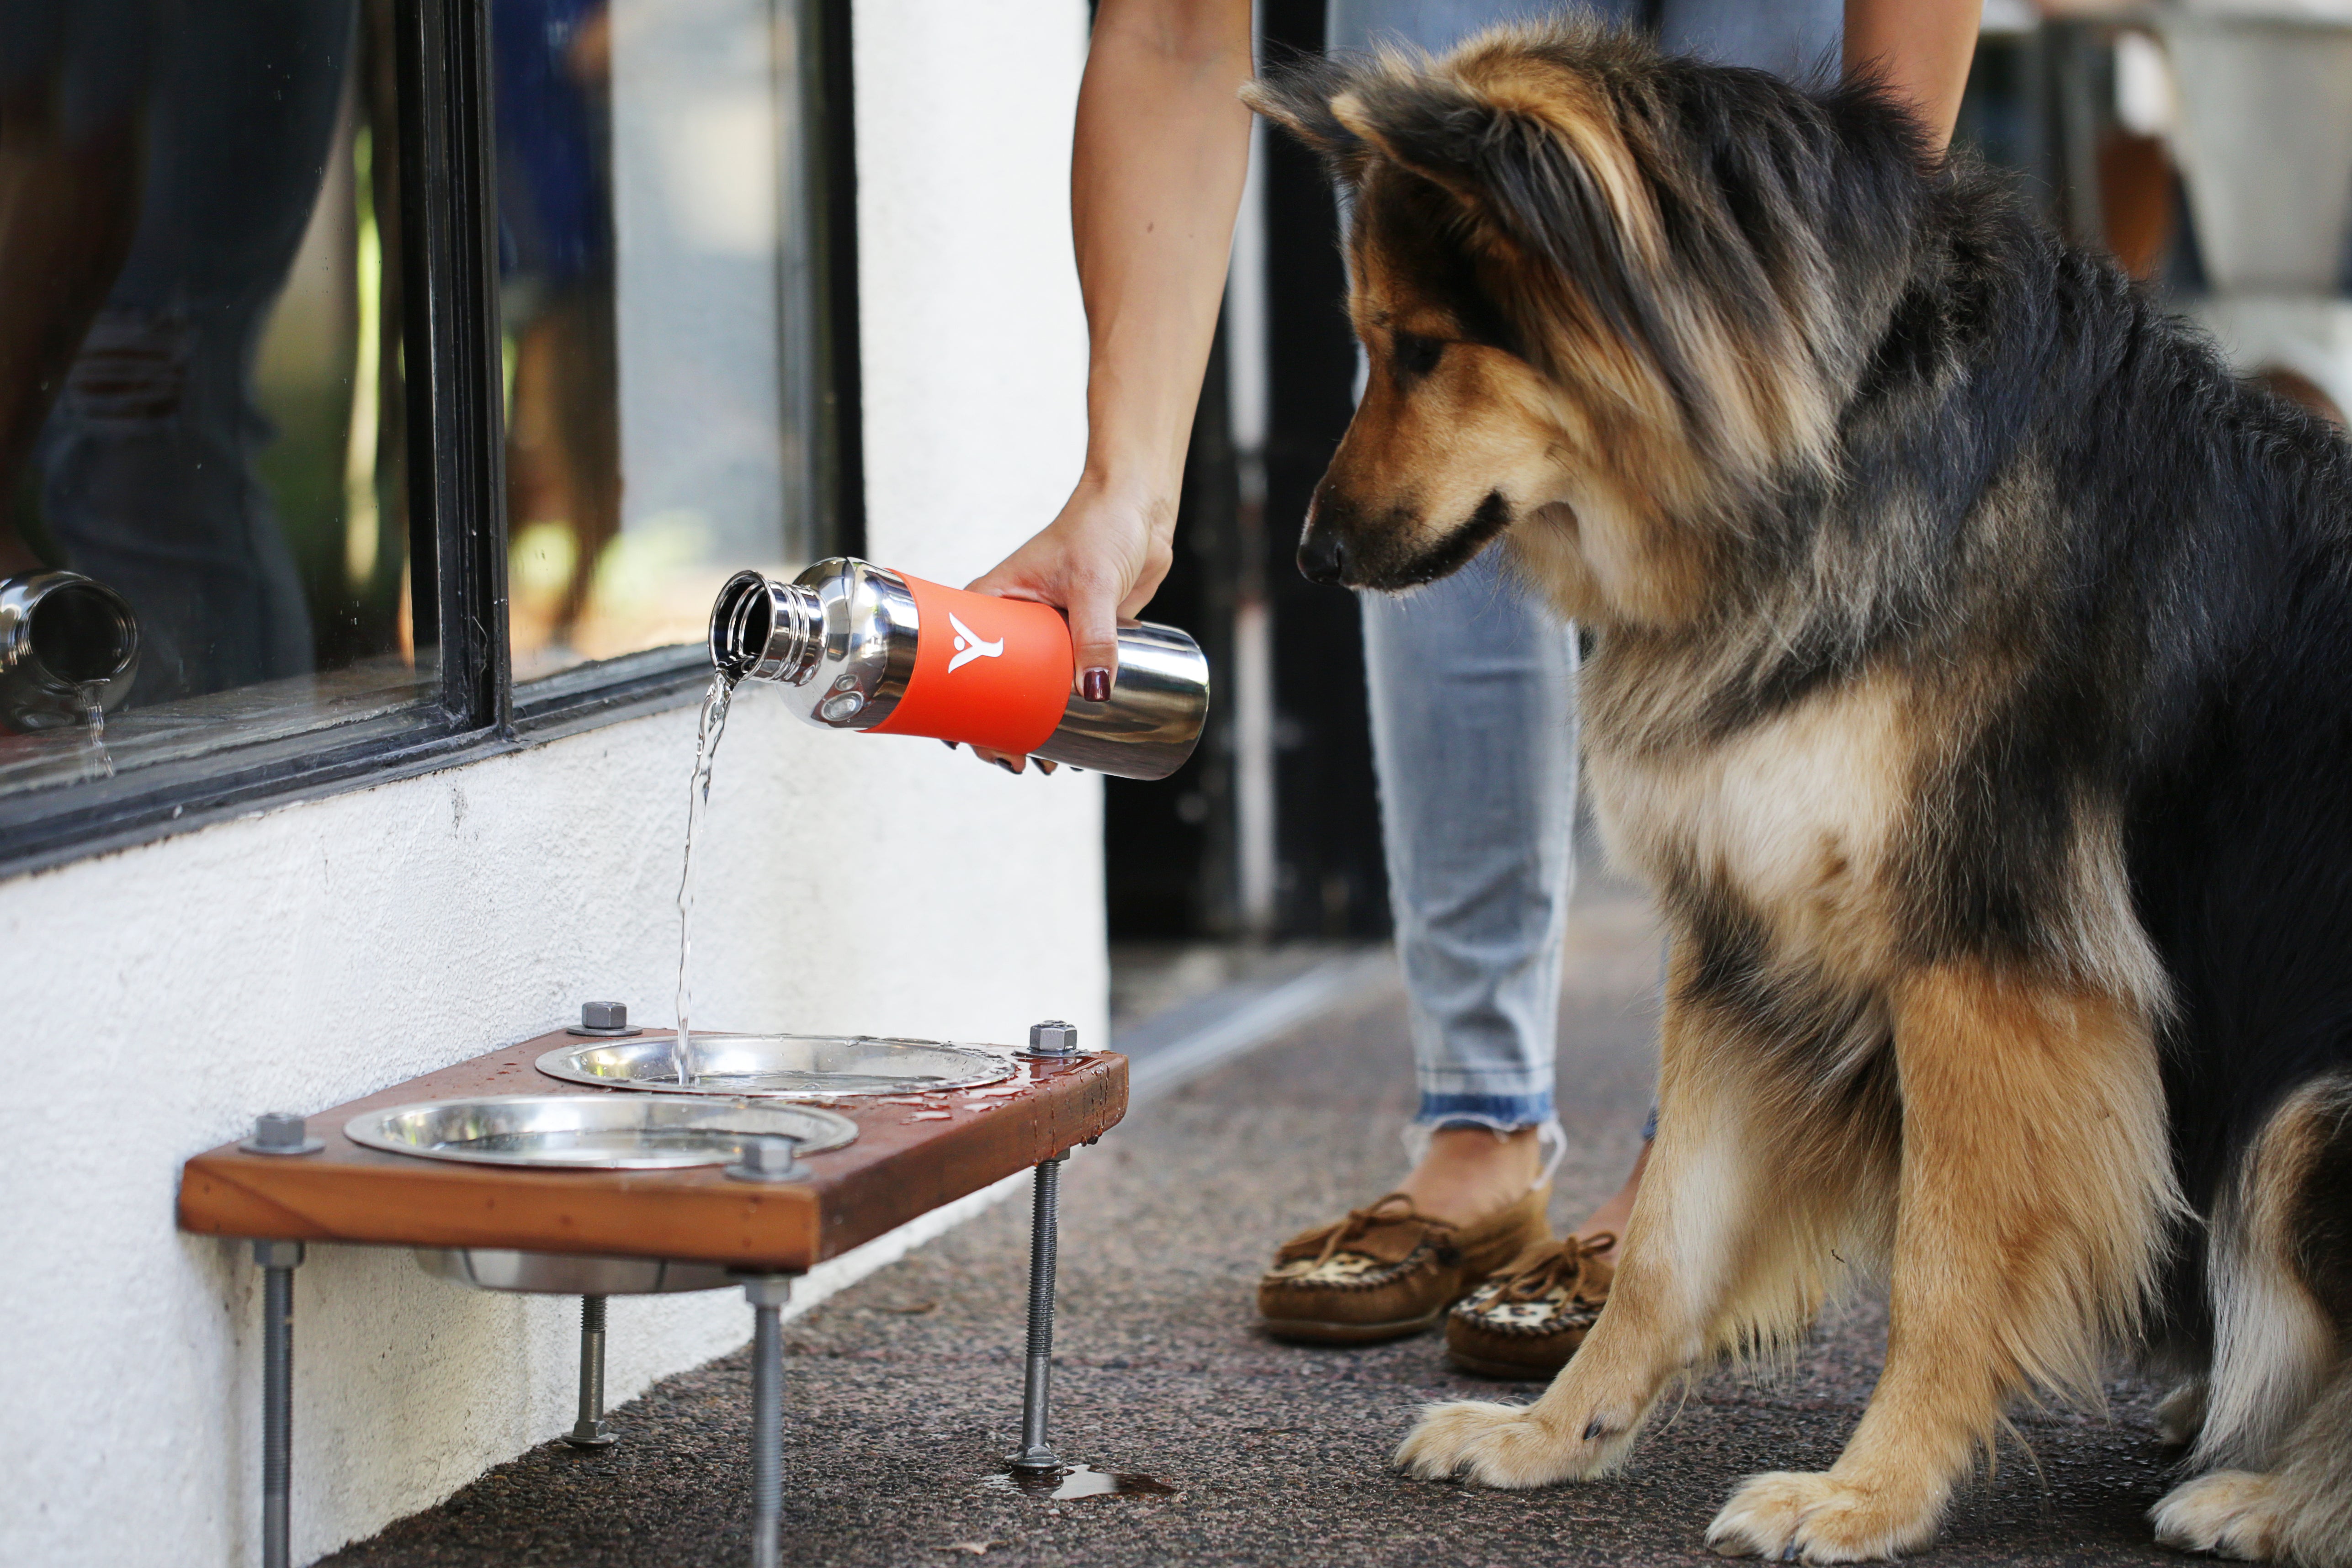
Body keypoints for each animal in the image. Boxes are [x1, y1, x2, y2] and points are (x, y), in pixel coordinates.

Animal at [1251, 18, 2352, 1561]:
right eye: (1364, 341)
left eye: (1418, 348)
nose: (1309, 557)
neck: (1831, 456)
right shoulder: (1742, 939)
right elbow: (1662, 1246)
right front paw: (1553, 1435)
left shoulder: (1983, 969)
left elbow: (1943, 1265)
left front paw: (1867, 1492)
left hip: (2306, 1118)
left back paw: (2267, 1494)